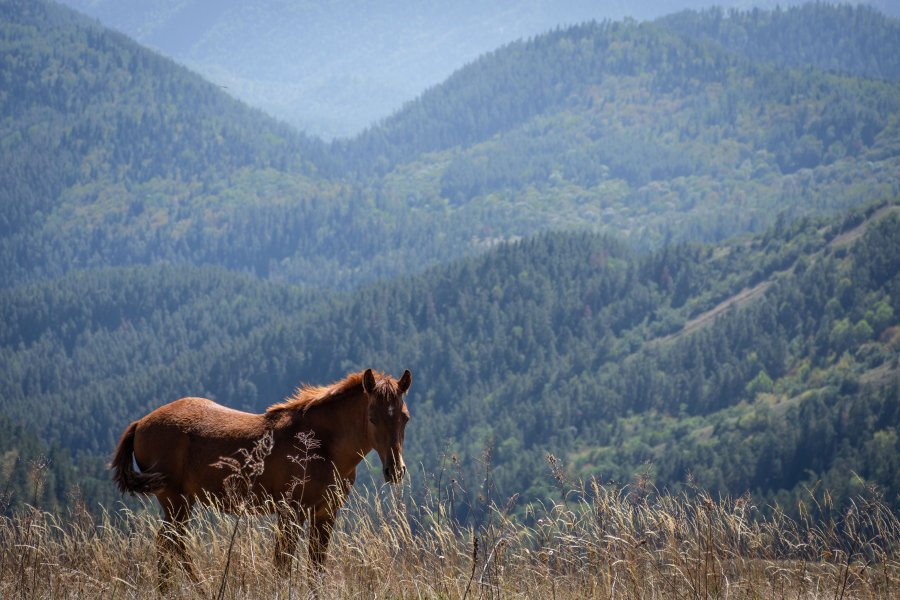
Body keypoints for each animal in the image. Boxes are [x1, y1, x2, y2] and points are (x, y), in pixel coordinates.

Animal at [108, 368, 412, 588]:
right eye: (372, 417)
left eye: (405, 417)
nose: (395, 470)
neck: (320, 444)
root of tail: (140, 423)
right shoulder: (291, 512)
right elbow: (283, 564)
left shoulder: (325, 513)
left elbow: (315, 567)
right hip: (174, 501)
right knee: (168, 545)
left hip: (181, 504)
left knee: (172, 546)